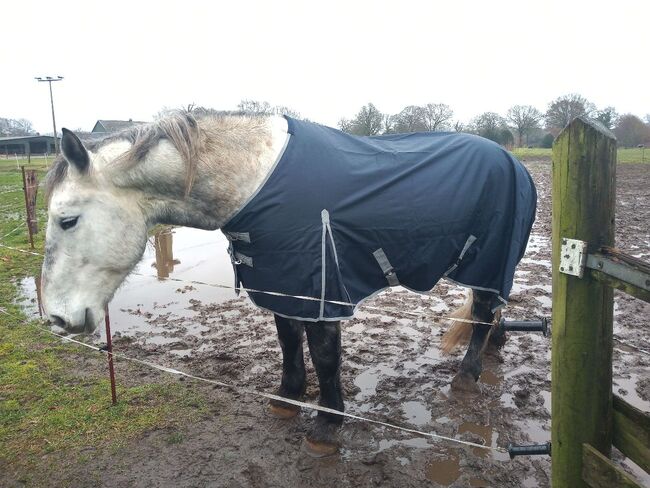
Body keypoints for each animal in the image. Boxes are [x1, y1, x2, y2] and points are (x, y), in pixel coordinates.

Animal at [41, 110, 536, 456]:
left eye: (68, 220)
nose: (58, 319)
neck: (255, 182)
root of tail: (514, 162)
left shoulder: (319, 291)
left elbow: (324, 355)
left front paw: (327, 425)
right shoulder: (283, 284)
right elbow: (288, 343)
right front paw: (287, 399)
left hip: (490, 261)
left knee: (482, 312)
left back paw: (467, 376)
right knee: (491, 313)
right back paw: (493, 351)